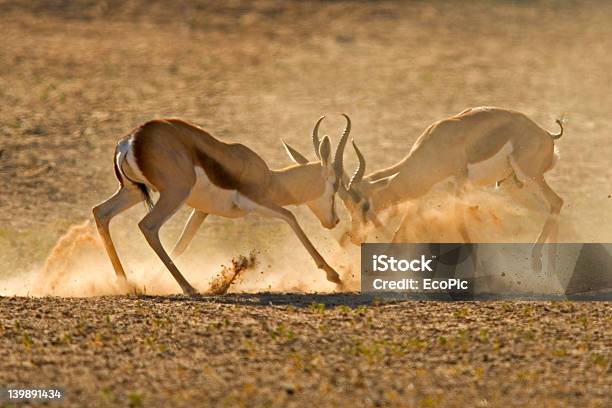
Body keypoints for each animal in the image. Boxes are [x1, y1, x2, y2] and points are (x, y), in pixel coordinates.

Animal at [91, 115, 350, 294]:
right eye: (335, 184)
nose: (334, 220)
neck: (269, 179)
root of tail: (131, 140)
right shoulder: (257, 201)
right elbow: (291, 217)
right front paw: (335, 276)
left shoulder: (201, 211)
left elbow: (181, 245)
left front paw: (153, 280)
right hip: (174, 193)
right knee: (148, 226)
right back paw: (189, 288)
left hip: (132, 192)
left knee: (101, 213)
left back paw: (126, 284)